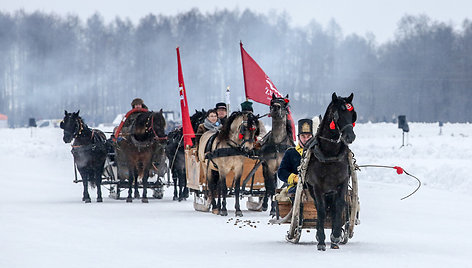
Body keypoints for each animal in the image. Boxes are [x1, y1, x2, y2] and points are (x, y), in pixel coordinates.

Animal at [304, 92, 356, 251]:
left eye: (353, 114)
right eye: (338, 114)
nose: (350, 136)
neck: (329, 155)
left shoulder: (342, 184)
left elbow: (339, 206)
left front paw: (336, 236)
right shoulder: (317, 186)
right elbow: (320, 209)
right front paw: (321, 239)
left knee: (333, 207)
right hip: (312, 189)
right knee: (319, 206)